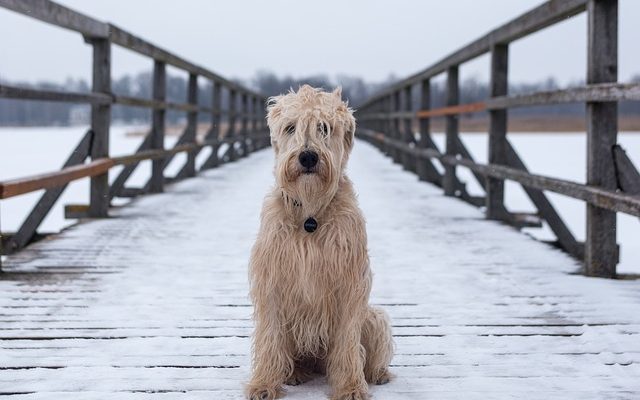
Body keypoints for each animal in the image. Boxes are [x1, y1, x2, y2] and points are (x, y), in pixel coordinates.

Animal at [246, 85, 392, 400]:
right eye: (290, 127)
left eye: (324, 128)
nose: (308, 157)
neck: (310, 214)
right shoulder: (271, 280)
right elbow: (270, 336)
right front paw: (263, 383)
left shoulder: (350, 283)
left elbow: (348, 342)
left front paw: (350, 386)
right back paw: (294, 373)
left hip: (374, 317)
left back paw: (378, 373)